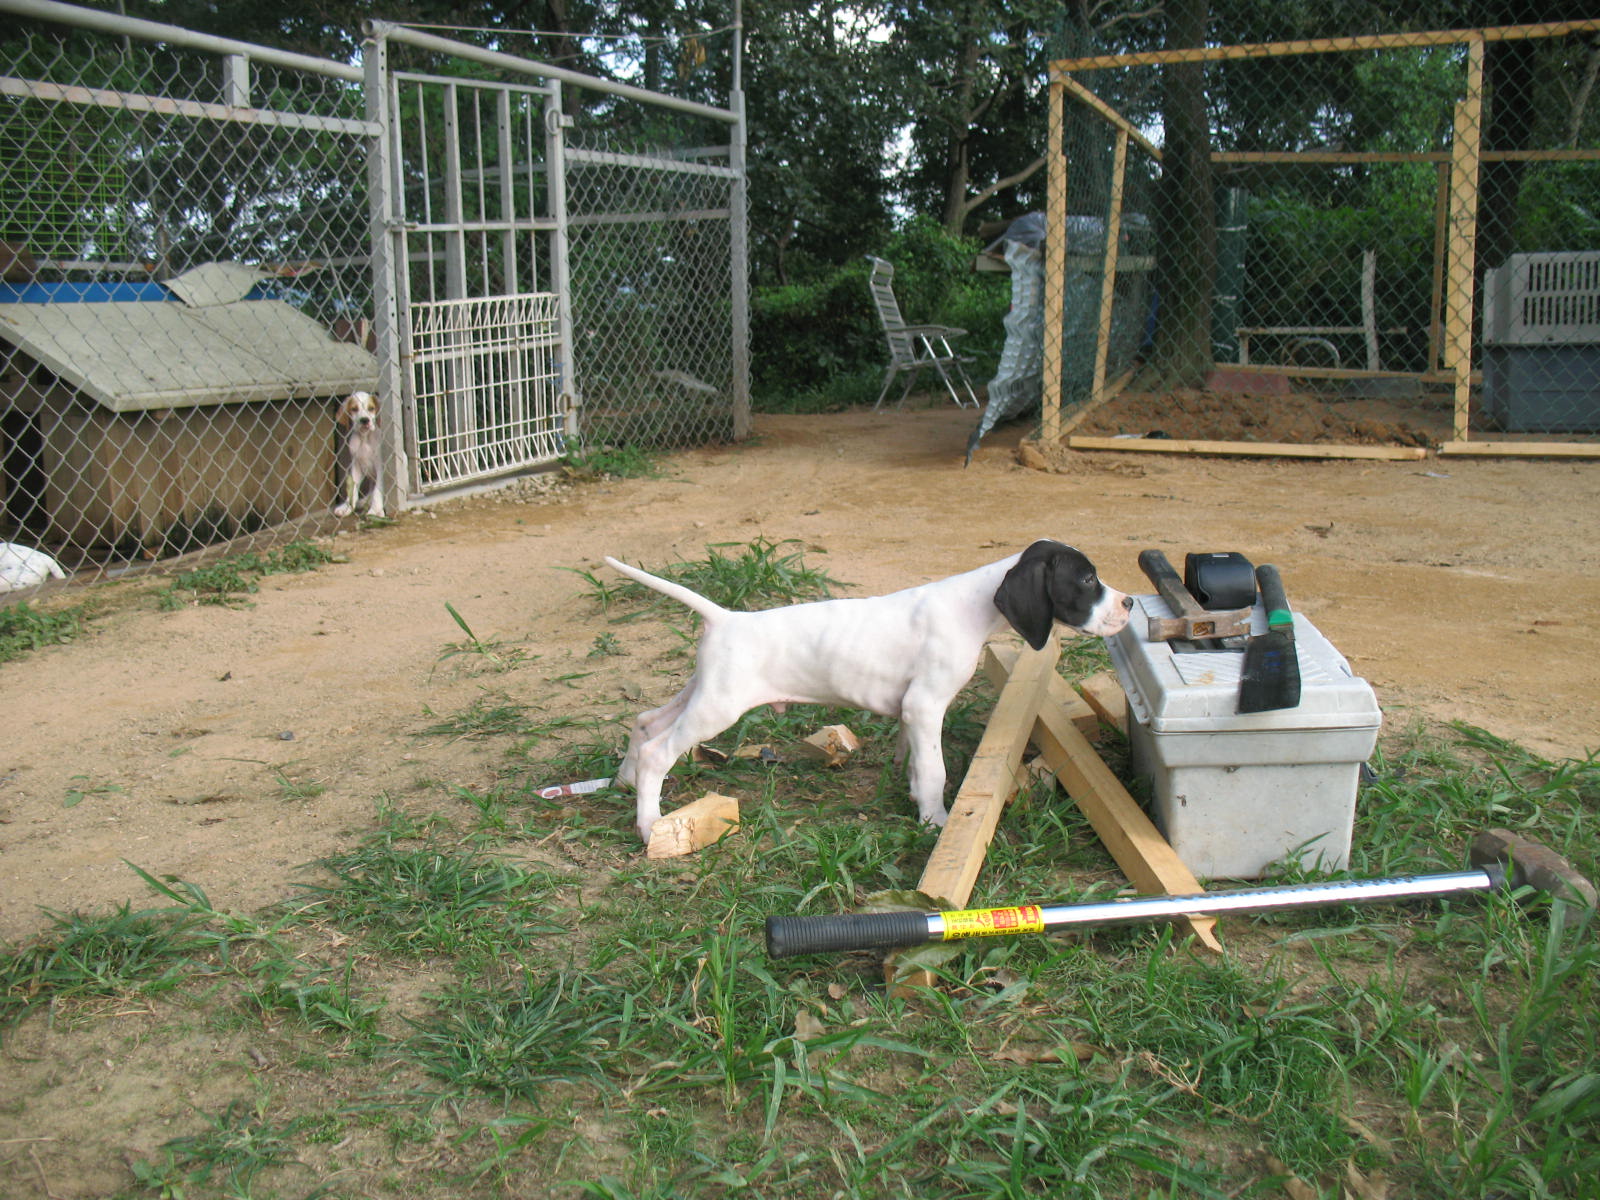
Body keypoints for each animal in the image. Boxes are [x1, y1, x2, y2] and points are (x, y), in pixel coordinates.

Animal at [607, 540, 1132, 841]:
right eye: (1087, 579)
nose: (1129, 602)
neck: (973, 606)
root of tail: (725, 618)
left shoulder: (912, 713)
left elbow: (917, 765)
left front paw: (917, 801)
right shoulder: (925, 706)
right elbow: (936, 770)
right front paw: (936, 822)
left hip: (703, 694)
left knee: (646, 722)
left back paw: (625, 782)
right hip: (718, 707)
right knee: (657, 751)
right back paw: (648, 824)